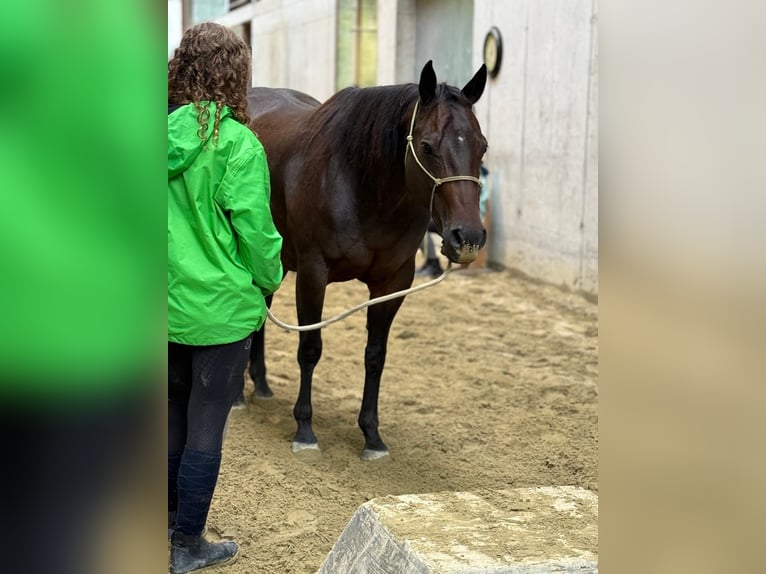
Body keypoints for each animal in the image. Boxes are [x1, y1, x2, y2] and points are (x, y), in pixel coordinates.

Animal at [245, 61, 488, 460]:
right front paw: (305, 429)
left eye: (482, 146)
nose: (467, 236)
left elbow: (376, 355)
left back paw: (261, 385)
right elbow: (310, 349)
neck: (360, 184)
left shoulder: (394, 282)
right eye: (427, 146)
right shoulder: (312, 274)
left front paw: (371, 435)